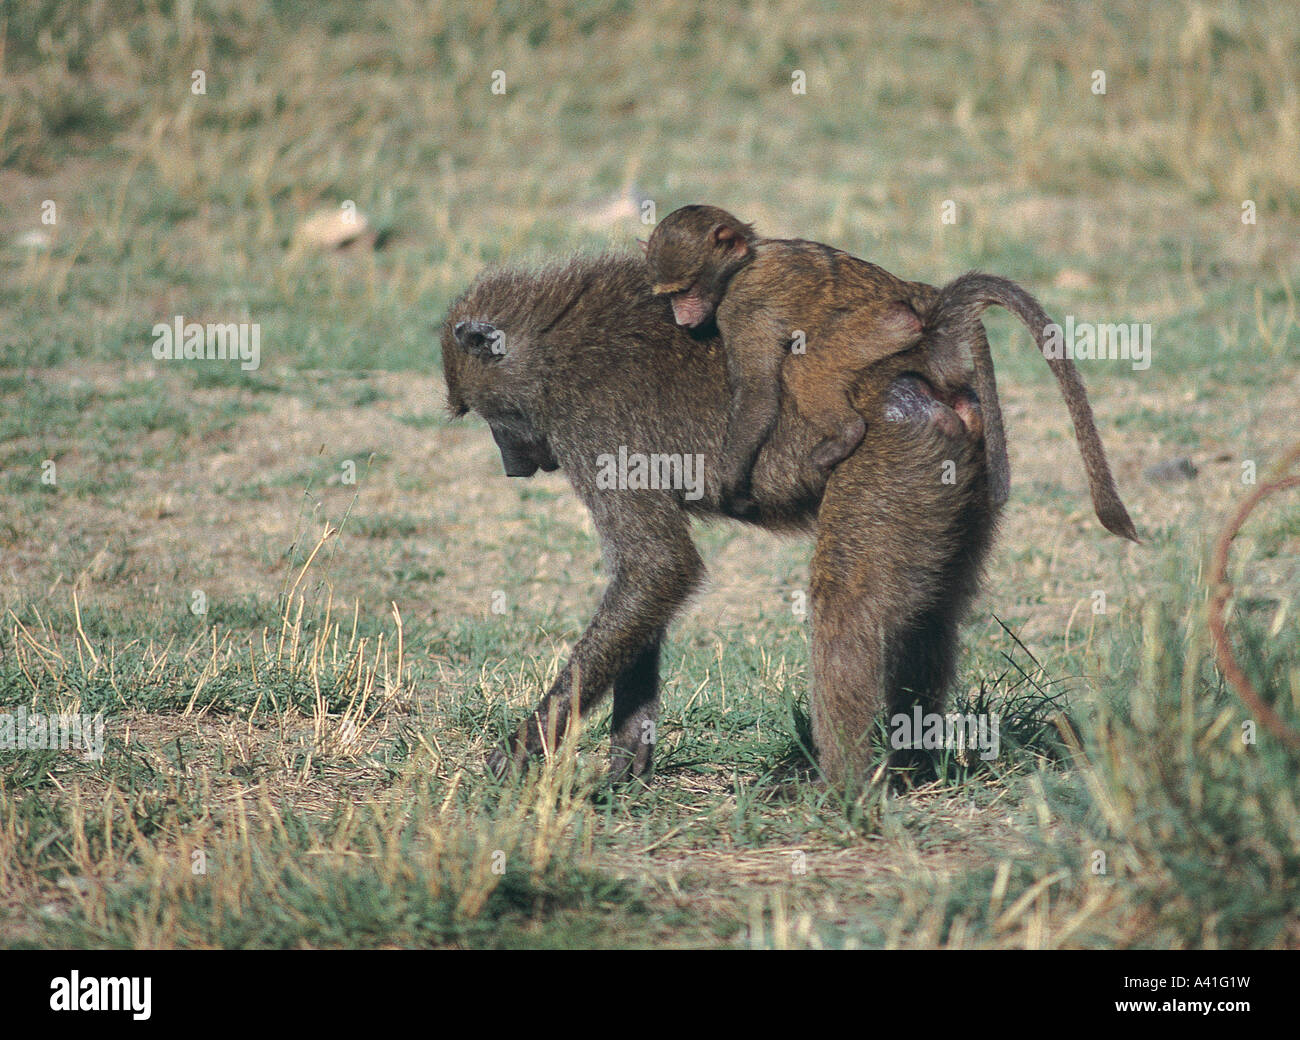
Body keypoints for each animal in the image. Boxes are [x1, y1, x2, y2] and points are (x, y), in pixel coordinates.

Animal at [644, 205, 1138, 543]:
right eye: (669, 295)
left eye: (685, 290)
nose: (682, 317)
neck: (743, 265)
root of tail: (926, 302)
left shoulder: (743, 308)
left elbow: (759, 393)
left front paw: (731, 487)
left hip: (884, 328)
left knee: (803, 366)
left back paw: (845, 434)